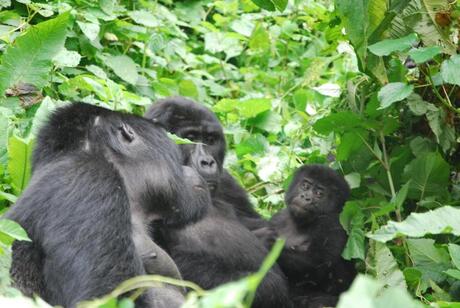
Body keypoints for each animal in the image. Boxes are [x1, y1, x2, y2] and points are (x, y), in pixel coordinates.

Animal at [270, 165, 356, 308]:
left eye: (319, 194)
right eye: (305, 186)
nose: (306, 197)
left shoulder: (332, 223)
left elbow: (317, 265)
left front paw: (267, 243)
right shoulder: (278, 218)